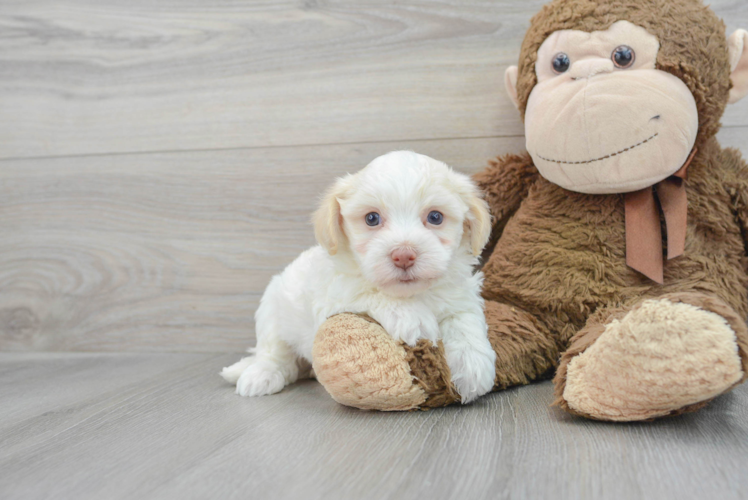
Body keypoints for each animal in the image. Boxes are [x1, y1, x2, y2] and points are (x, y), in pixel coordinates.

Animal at [219, 150, 494, 404]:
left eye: (435, 217)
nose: (403, 255)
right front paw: (411, 317)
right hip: (272, 310)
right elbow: (369, 292)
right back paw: (261, 375)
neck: (413, 294)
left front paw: (473, 366)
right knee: (274, 352)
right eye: (372, 218)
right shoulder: (336, 295)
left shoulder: (461, 296)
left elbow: (464, 321)